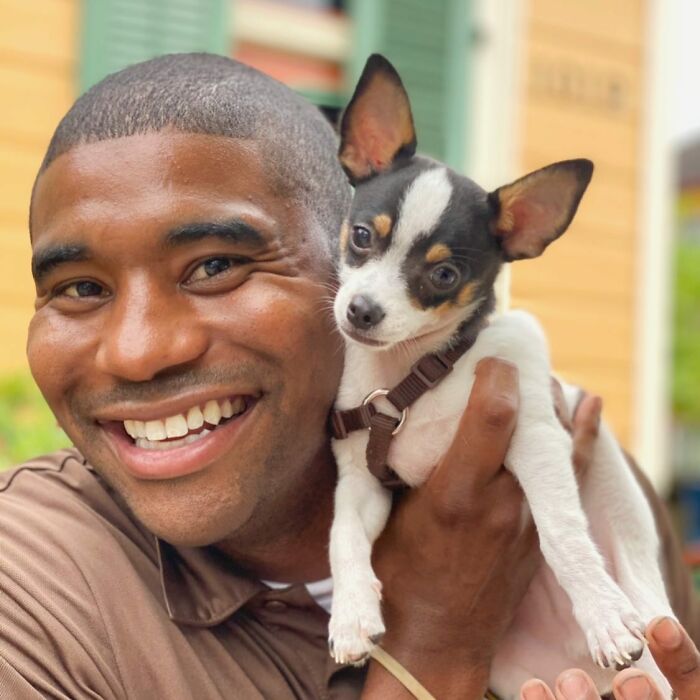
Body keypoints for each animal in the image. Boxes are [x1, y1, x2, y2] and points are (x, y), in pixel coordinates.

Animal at [330, 54, 676, 700]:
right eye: (362, 236)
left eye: (443, 275)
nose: (361, 311)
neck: (419, 373)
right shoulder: (364, 480)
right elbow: (342, 536)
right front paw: (352, 614)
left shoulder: (537, 437)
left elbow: (562, 532)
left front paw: (604, 617)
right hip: (517, 674)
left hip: (627, 519)